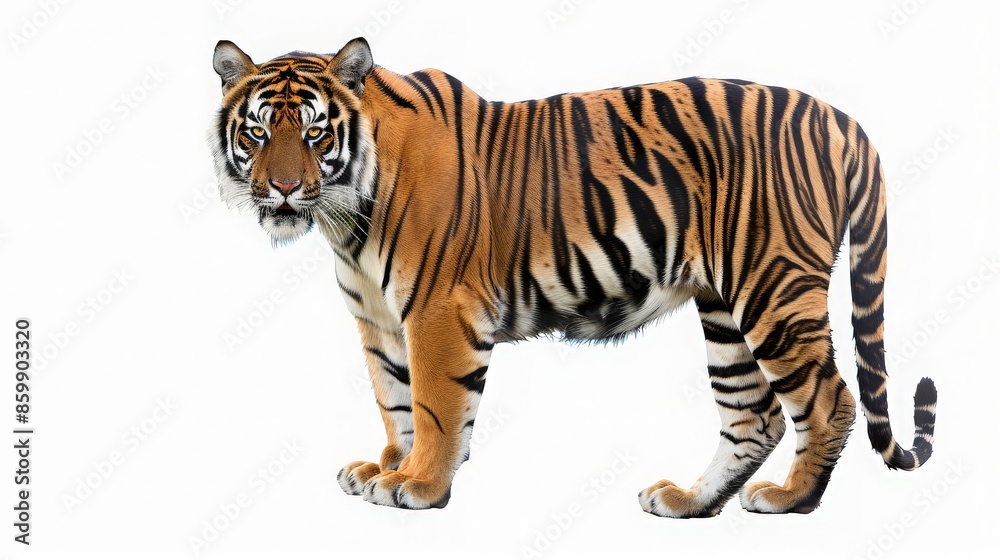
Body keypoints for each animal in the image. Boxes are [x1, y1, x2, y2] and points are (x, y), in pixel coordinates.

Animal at [209, 37, 937, 517]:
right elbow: (394, 399)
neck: (344, 217)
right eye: (257, 132)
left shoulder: (439, 311)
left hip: (773, 288)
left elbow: (436, 407)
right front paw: (387, 465)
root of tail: (842, 120)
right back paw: (687, 501)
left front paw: (417, 484)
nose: (282, 189)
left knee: (828, 400)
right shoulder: (378, 320)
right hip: (725, 308)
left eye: (314, 133)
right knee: (752, 416)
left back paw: (790, 499)